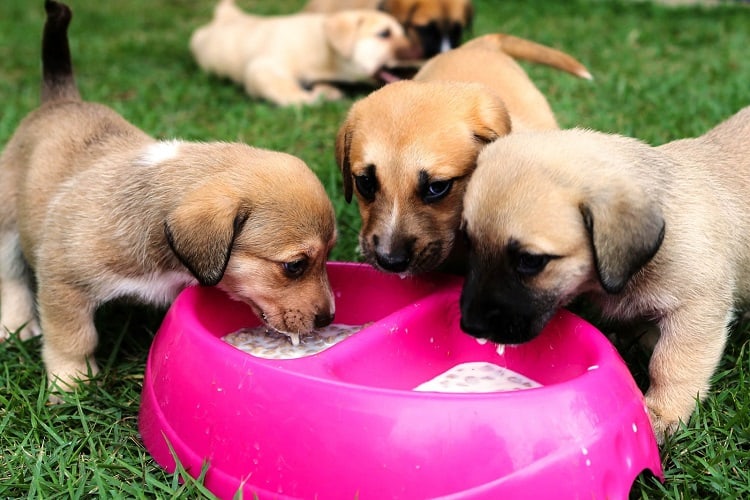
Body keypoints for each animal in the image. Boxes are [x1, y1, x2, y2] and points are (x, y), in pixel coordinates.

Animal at [187, 0, 412, 105]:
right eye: (384, 34)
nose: (417, 51)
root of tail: (223, 17)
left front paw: (327, 90)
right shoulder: (263, 68)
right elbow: (286, 90)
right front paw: (311, 98)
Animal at [458, 107, 750, 444]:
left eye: (530, 261)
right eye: (468, 242)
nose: (470, 326)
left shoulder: (695, 311)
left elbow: (670, 364)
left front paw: (662, 413)